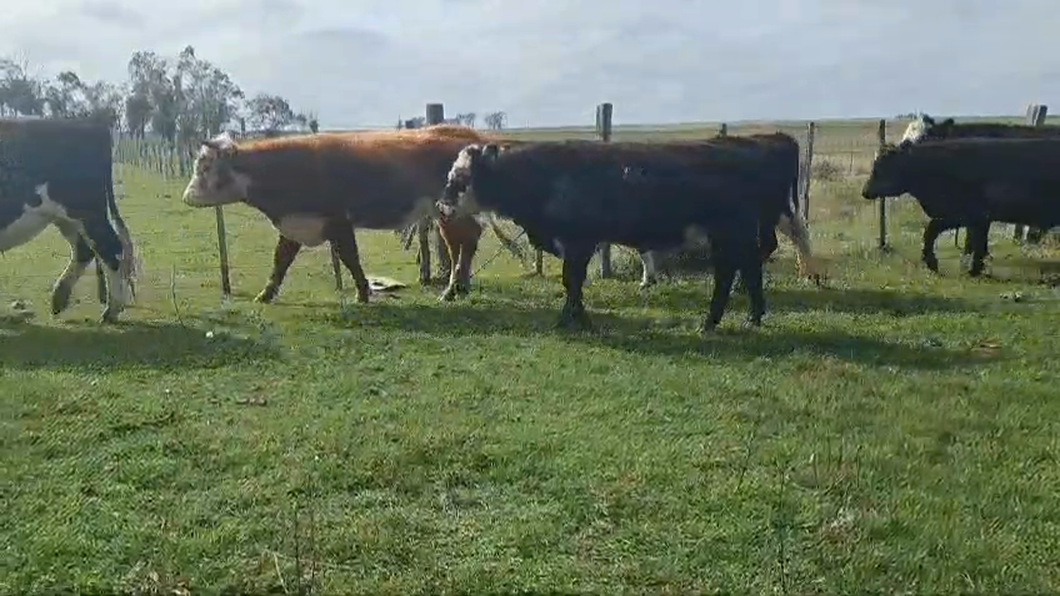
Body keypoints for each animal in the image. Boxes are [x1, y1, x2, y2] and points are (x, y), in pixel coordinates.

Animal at [181, 124, 491, 301]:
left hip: (448, 211)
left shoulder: (338, 221)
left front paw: (362, 293)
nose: (187, 196)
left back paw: (452, 288)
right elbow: (281, 260)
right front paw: (265, 294)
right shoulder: (296, 223)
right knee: (465, 241)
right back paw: (459, 286)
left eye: (205, 168)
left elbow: (349, 257)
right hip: (448, 214)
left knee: (461, 242)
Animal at [856, 135, 1060, 275]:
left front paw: (934, 263)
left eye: (880, 168)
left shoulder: (968, 214)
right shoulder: (980, 219)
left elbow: (932, 230)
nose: (865, 191)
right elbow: (978, 243)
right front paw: (975, 269)